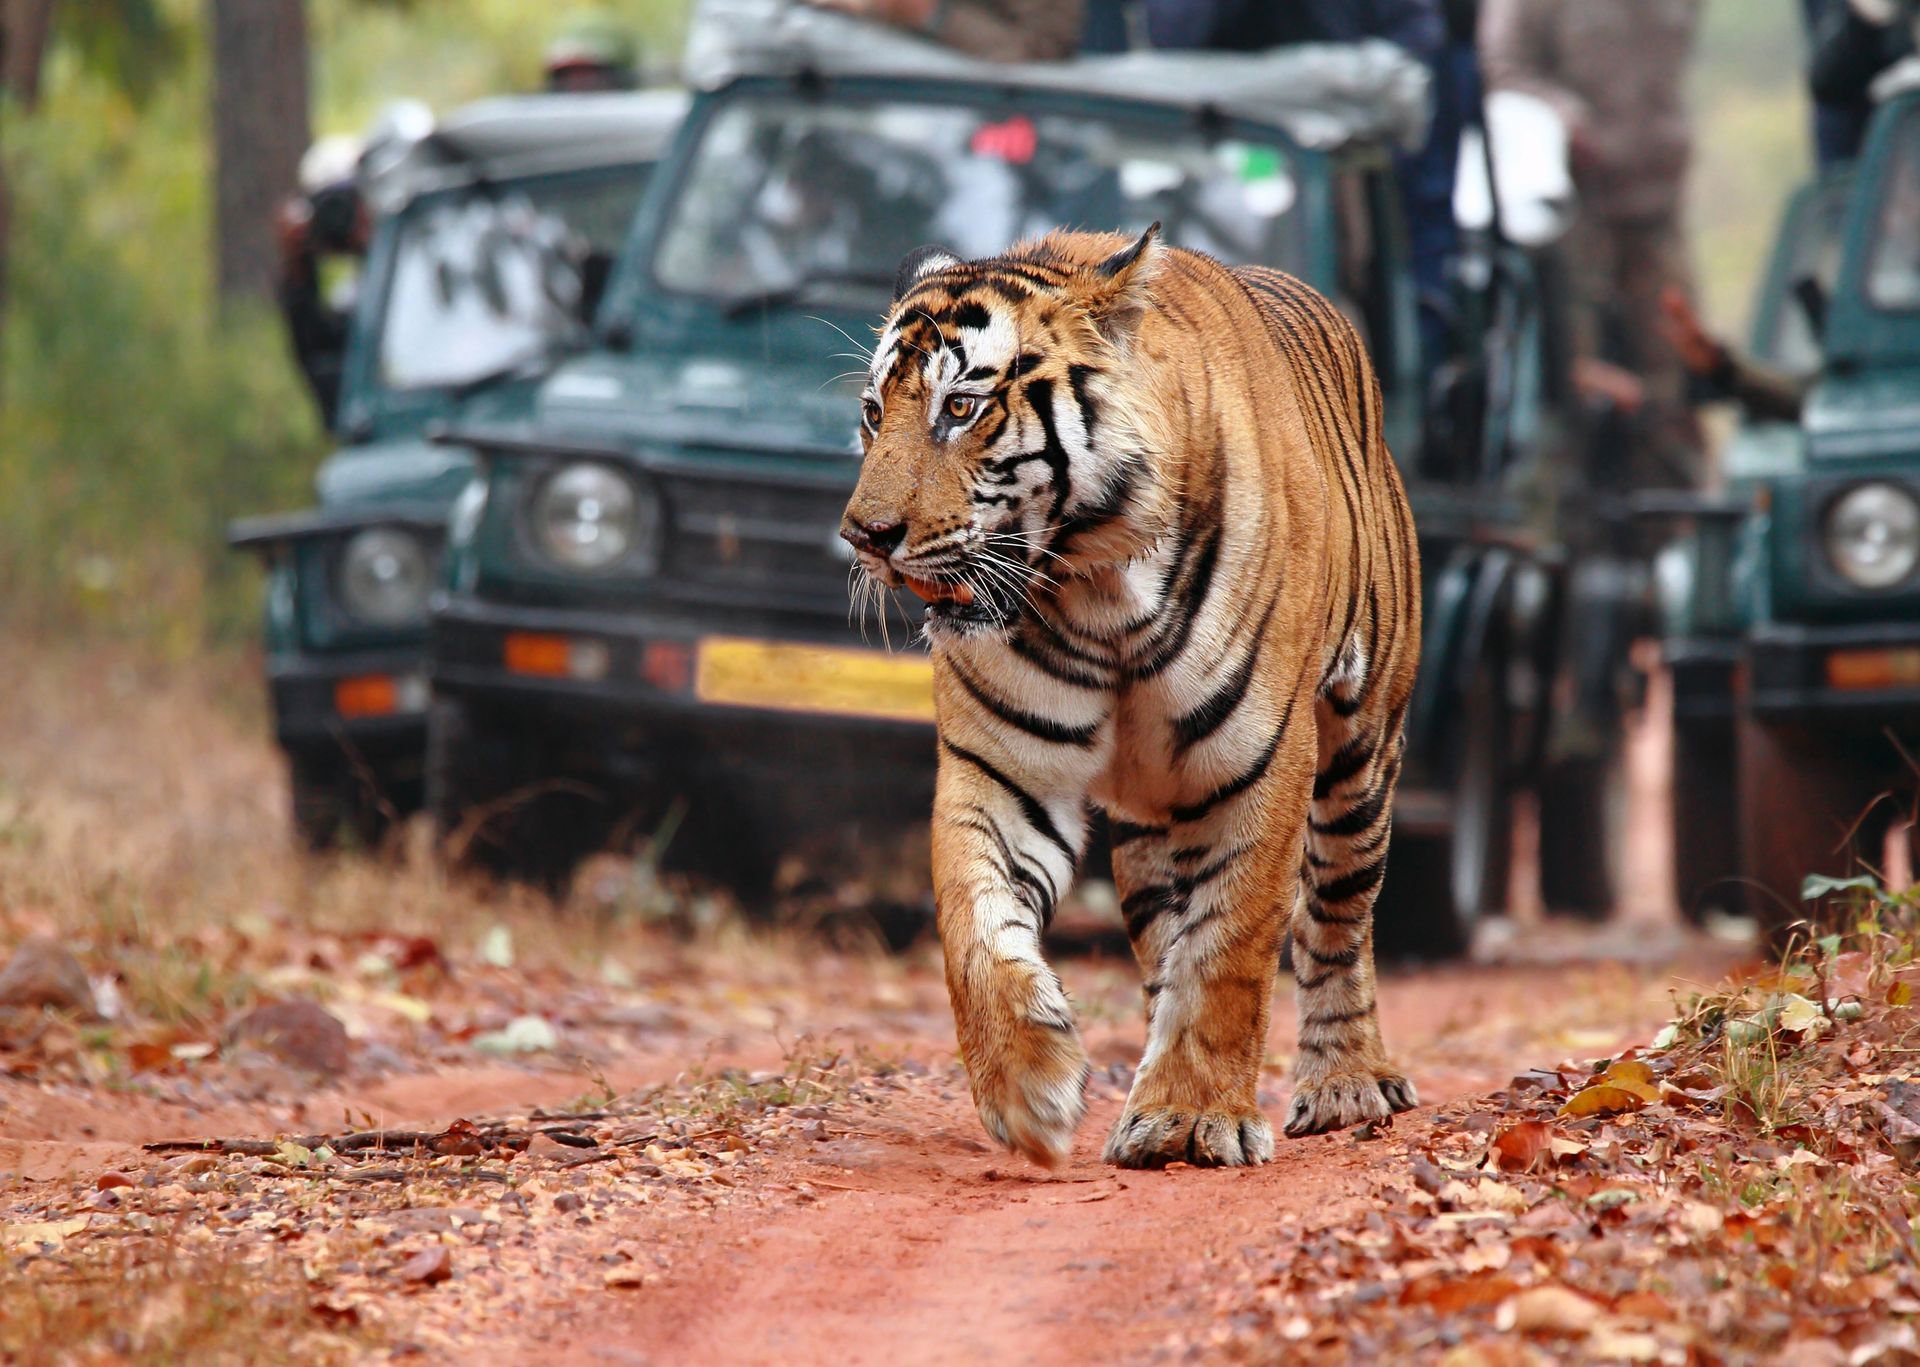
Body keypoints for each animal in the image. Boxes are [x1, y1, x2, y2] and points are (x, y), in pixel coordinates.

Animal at [840, 225, 1422, 1169]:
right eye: (871, 412)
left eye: (960, 408)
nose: (864, 536)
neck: (1094, 588)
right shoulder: (1000, 769)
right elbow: (973, 926)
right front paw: (1030, 1090)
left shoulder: (1261, 761)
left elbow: (1232, 943)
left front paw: (1194, 1115)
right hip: (1154, 822)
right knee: (1164, 941)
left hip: (1360, 755)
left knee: (1337, 919)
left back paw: (1347, 1083)